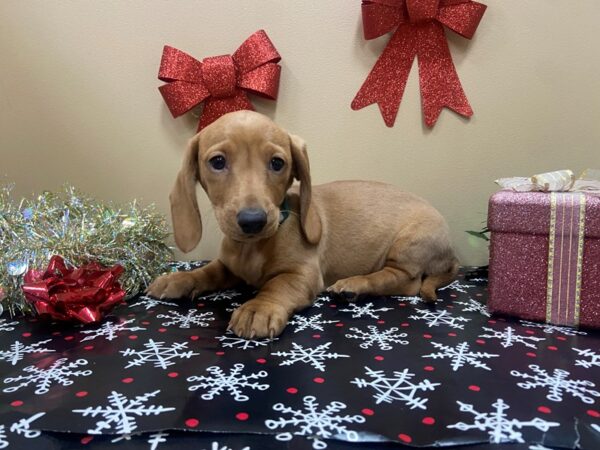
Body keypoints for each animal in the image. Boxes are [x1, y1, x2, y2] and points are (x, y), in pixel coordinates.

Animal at [148, 111, 458, 338]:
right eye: (218, 161)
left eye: (277, 163)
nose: (253, 221)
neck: (253, 248)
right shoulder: (229, 266)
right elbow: (208, 271)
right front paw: (178, 278)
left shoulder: (302, 274)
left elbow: (277, 286)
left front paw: (258, 308)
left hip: (409, 243)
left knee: (405, 281)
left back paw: (354, 285)